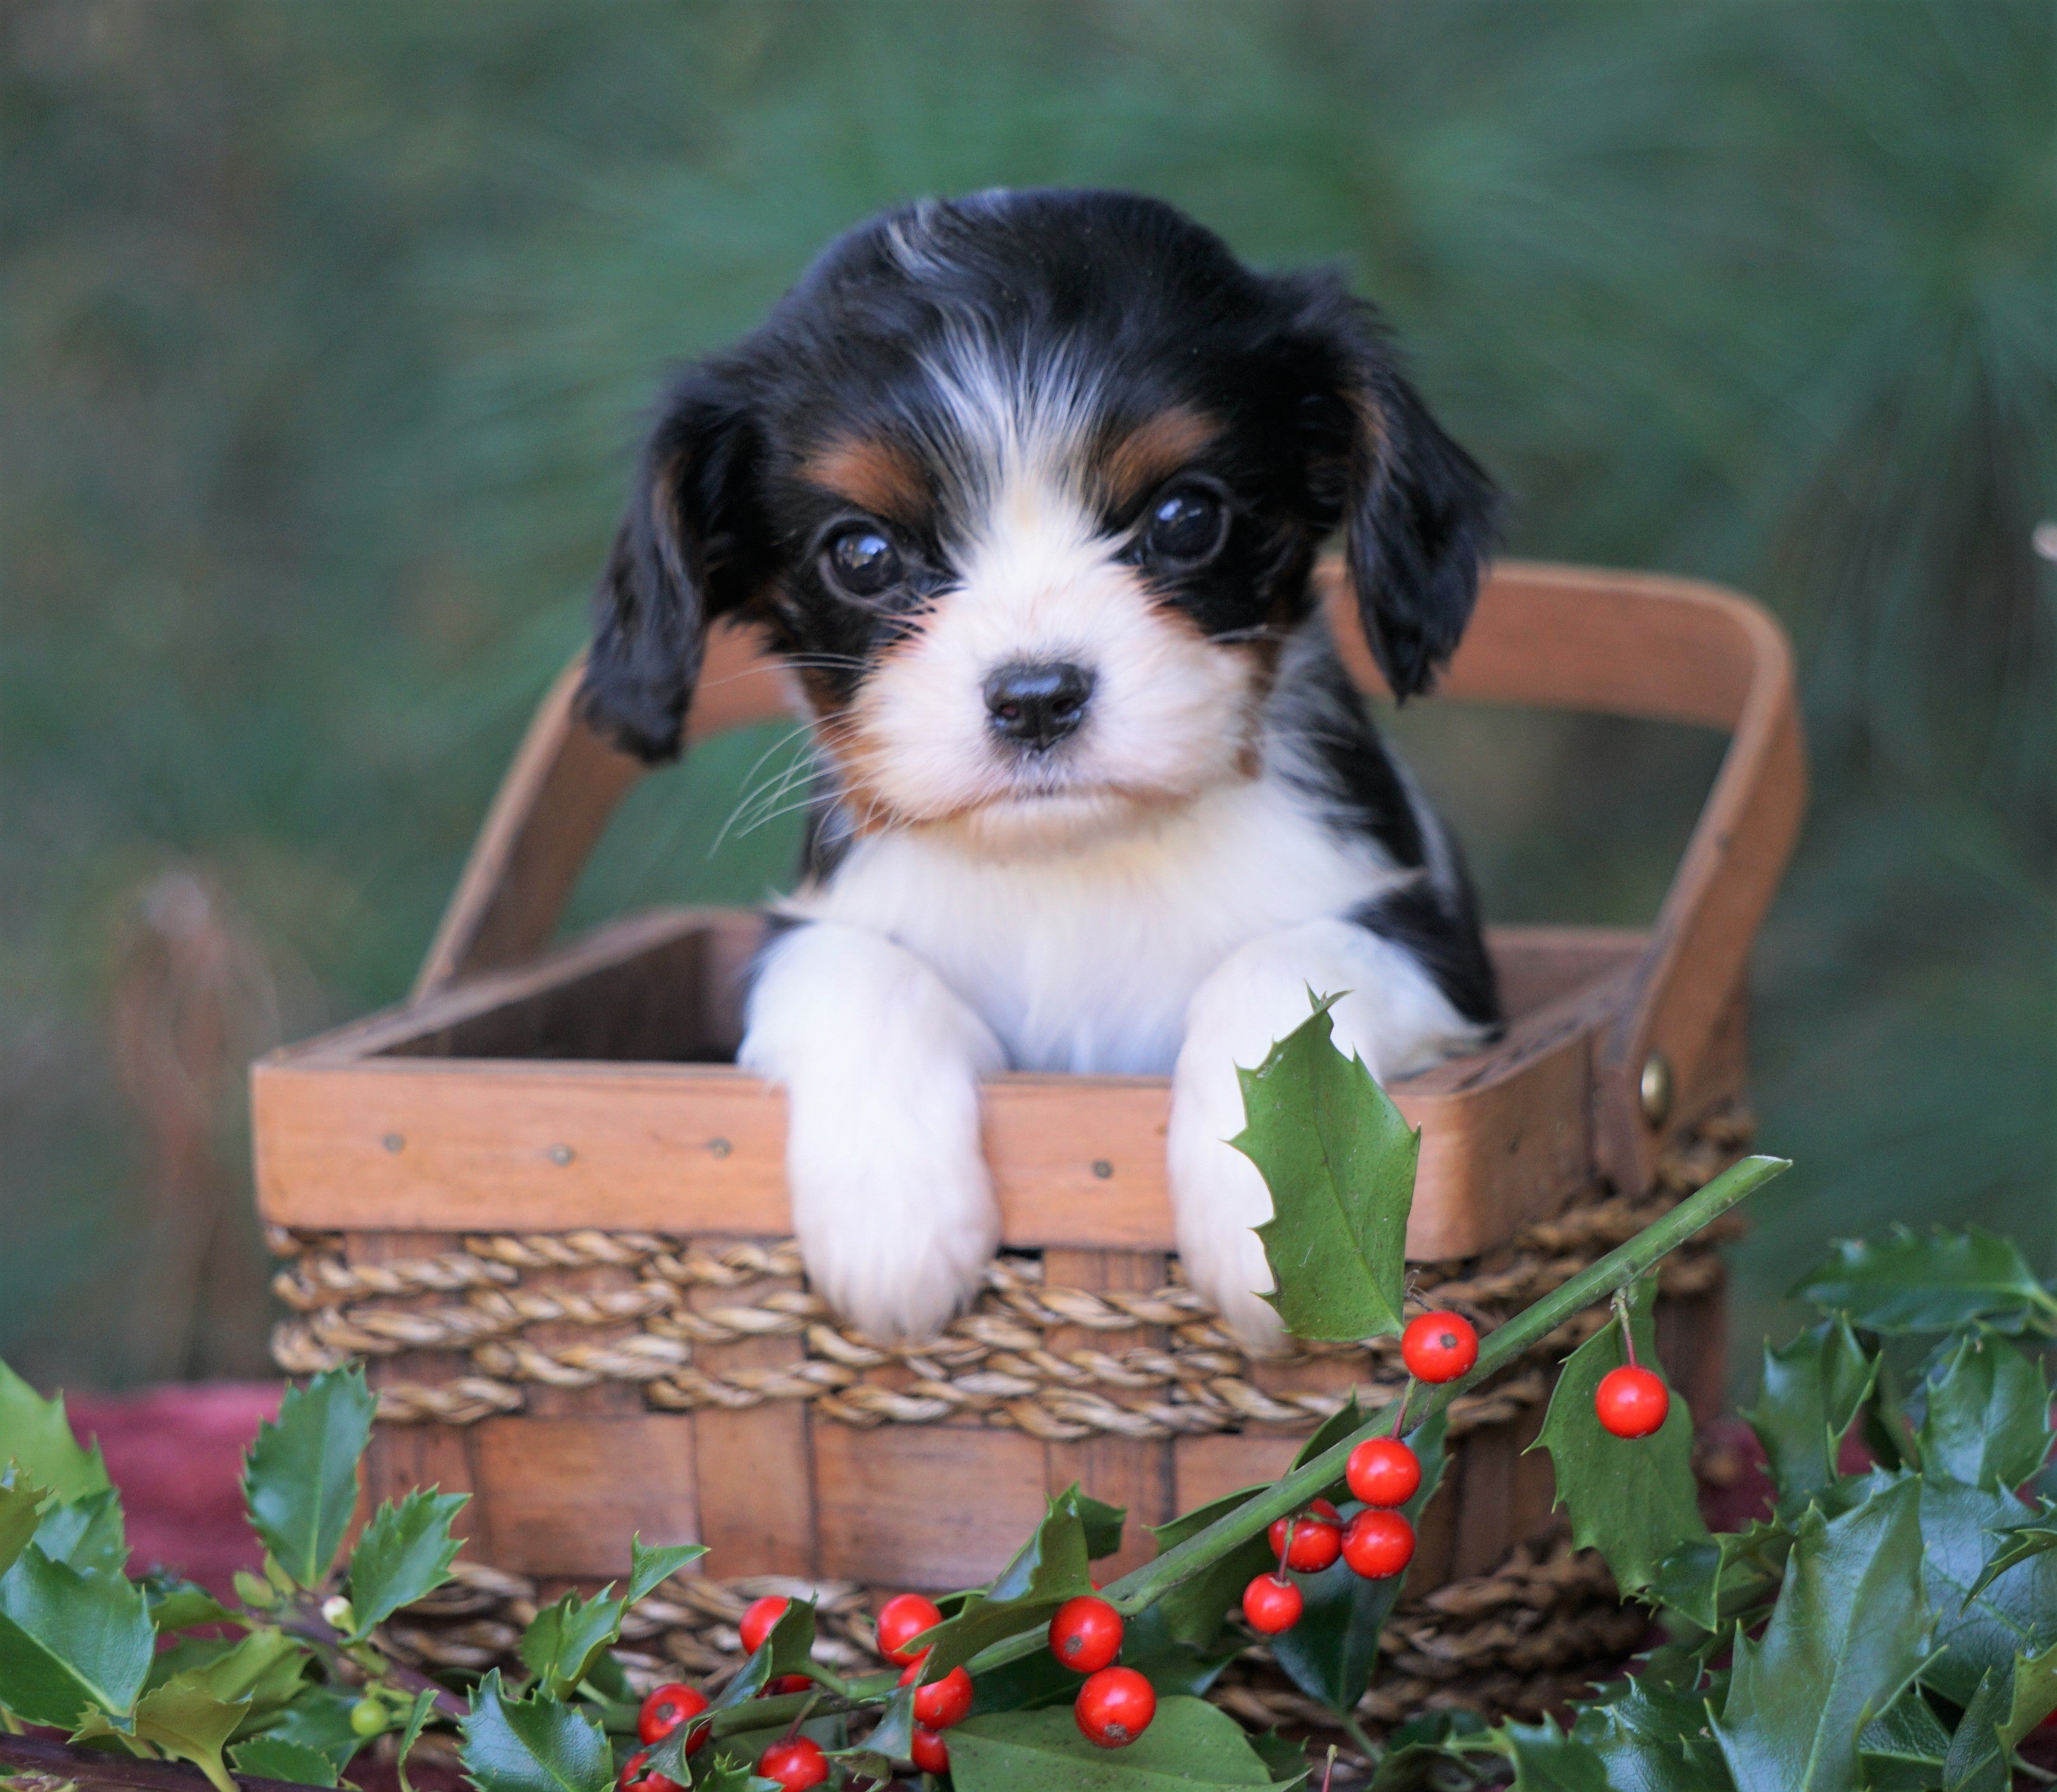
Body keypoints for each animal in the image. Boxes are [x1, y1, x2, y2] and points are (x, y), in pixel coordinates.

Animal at [580, 189, 1497, 1349]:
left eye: (1186, 518)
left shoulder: (1429, 945)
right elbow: (855, 969)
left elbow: (1283, 978)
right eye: (861, 555)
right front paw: (893, 1223)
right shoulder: (814, 923)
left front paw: (1267, 1219)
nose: (1035, 697)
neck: (1071, 861)